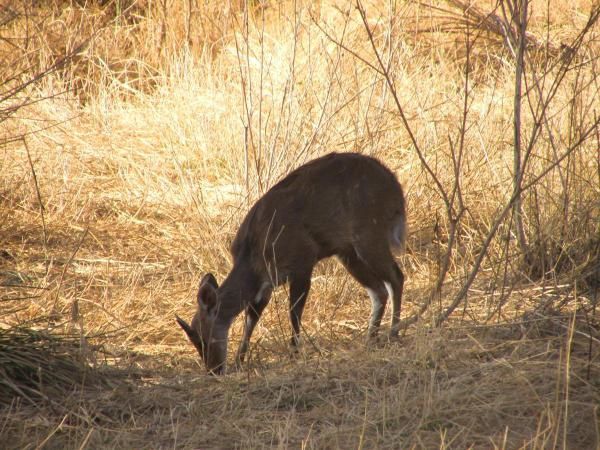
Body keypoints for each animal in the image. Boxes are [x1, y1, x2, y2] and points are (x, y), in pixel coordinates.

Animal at [176, 153, 406, 374]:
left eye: (203, 339)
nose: (214, 370)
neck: (253, 256)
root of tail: (397, 190)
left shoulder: (303, 262)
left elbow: (294, 312)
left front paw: (294, 353)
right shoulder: (266, 284)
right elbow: (252, 318)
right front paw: (239, 362)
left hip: (368, 235)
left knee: (396, 276)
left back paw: (393, 332)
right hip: (347, 252)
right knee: (379, 290)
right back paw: (370, 338)